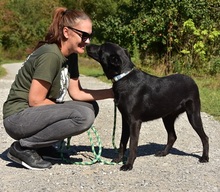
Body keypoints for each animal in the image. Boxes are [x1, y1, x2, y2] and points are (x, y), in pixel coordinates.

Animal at [85, 42, 209, 171]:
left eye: (102, 48)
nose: (86, 45)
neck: (123, 76)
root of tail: (193, 81)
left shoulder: (134, 122)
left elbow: (132, 144)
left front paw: (128, 164)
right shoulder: (125, 120)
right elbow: (122, 142)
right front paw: (118, 159)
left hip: (193, 115)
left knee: (205, 138)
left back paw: (204, 157)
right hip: (167, 117)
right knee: (172, 136)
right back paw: (163, 153)